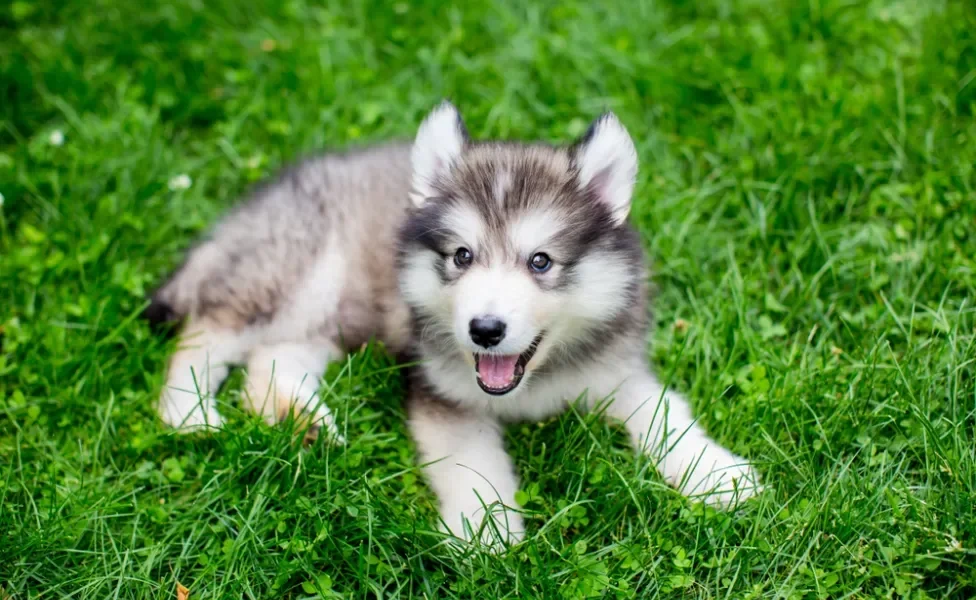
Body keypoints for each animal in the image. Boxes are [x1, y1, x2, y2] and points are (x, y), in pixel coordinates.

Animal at [151, 102, 764, 544]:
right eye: (462, 256)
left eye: (540, 262)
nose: (484, 330)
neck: (532, 386)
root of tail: (244, 211)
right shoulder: (445, 397)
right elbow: (473, 465)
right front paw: (484, 532)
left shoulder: (617, 371)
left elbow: (666, 414)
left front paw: (717, 475)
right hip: (297, 276)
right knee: (208, 330)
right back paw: (190, 412)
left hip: (334, 316)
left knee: (270, 358)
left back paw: (301, 422)